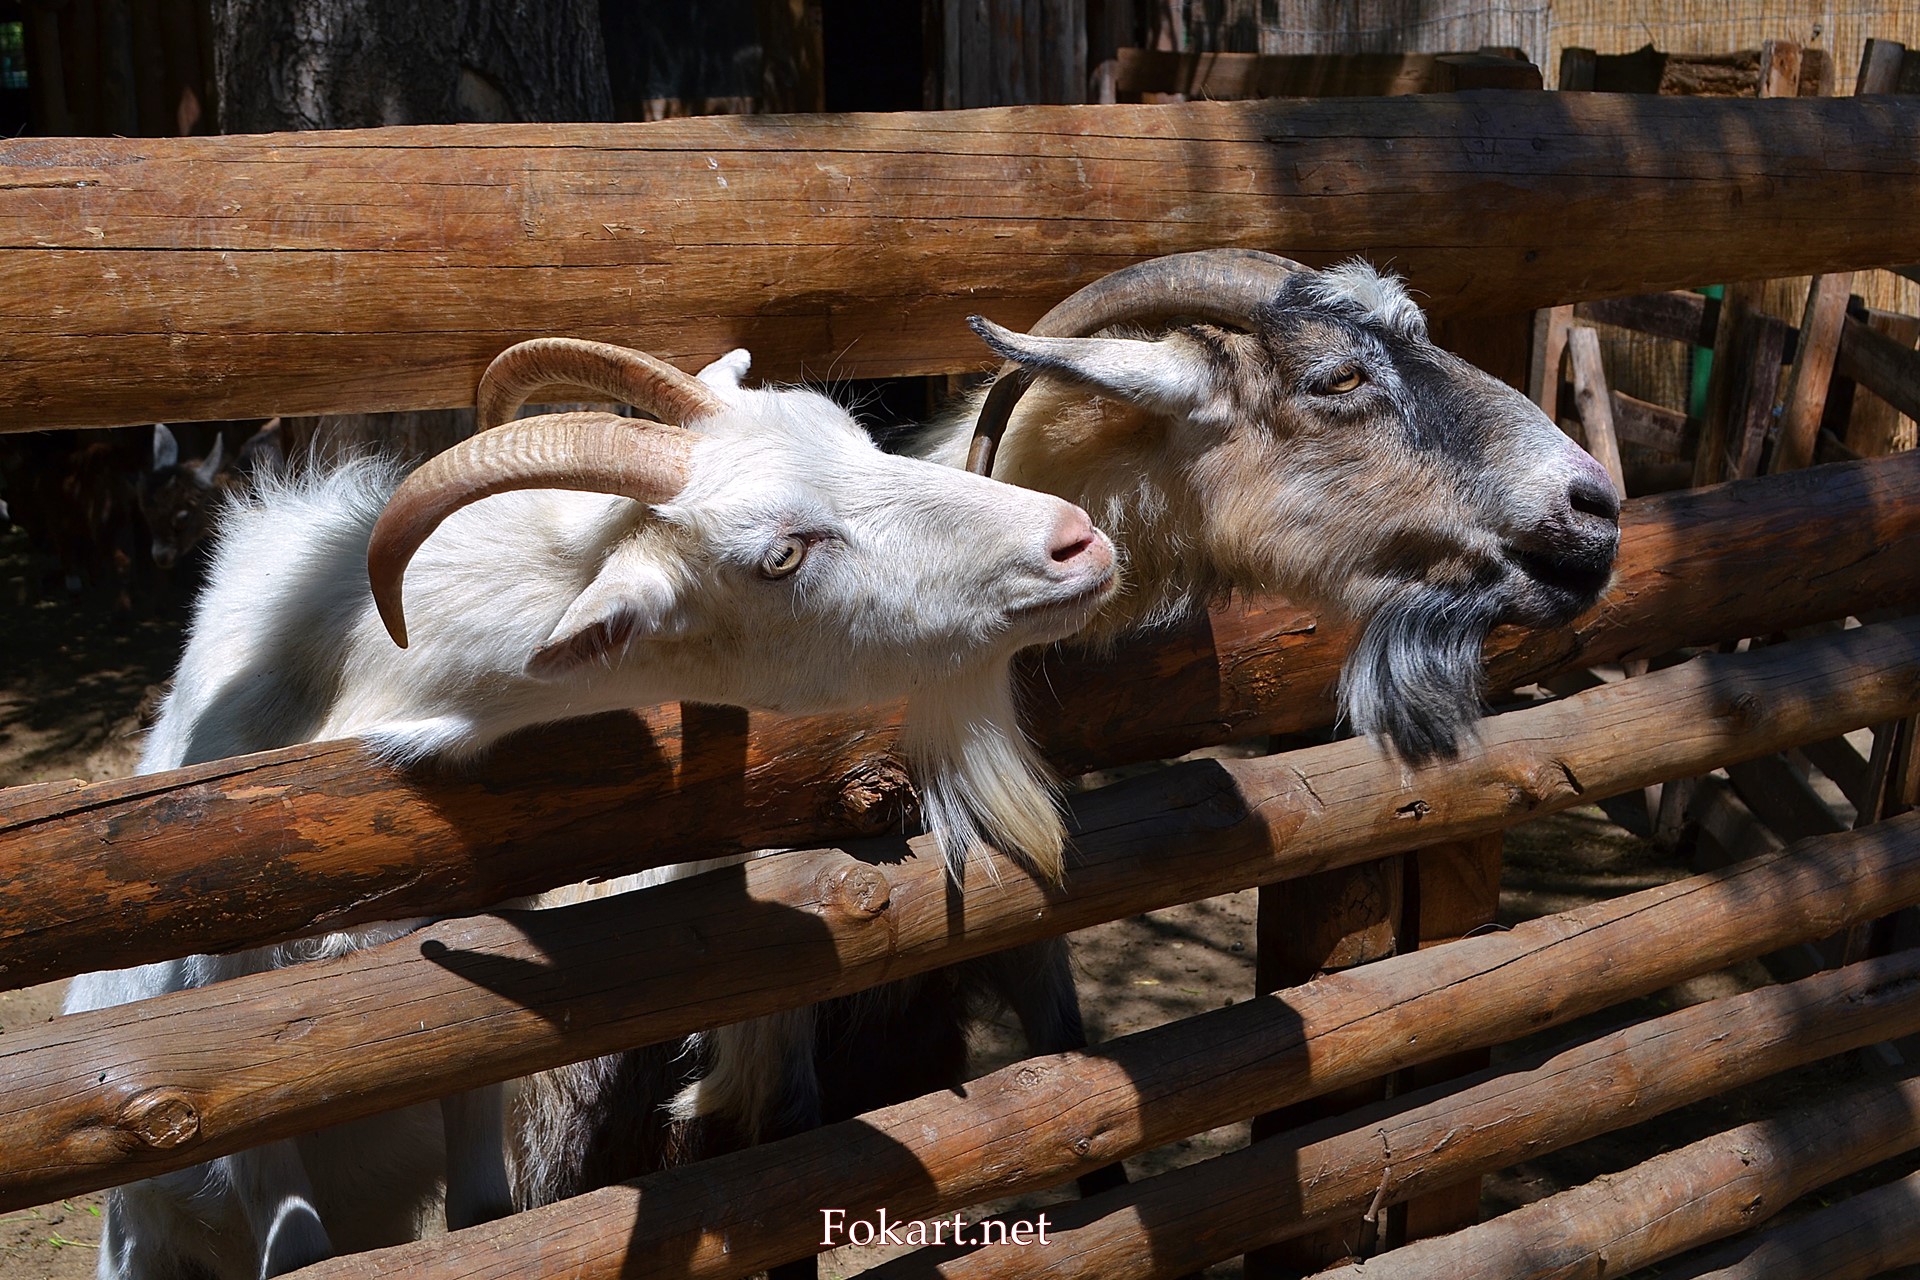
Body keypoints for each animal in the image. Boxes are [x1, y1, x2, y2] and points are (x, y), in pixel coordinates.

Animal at [63, 337, 1117, 1280]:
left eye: (856, 437)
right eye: (781, 555)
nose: (1078, 541)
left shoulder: (469, 1052)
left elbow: (484, 1215)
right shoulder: (236, 1090)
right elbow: (298, 1253)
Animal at [510, 252, 1622, 1273]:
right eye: (1336, 378)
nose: (1595, 506)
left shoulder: (1024, 935)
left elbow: (1077, 1089)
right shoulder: (763, 1028)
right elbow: (784, 1179)